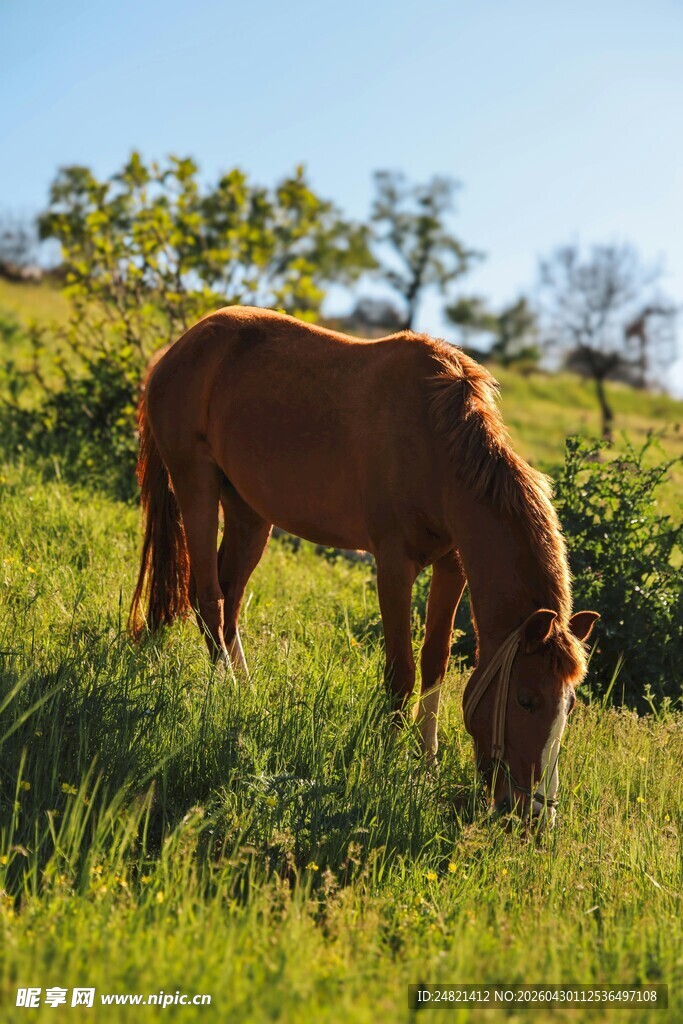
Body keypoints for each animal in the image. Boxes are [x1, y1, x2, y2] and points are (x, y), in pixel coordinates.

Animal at [129, 306, 599, 822]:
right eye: (527, 699)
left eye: (569, 708)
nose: (533, 815)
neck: (437, 443)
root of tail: (177, 349)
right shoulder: (393, 565)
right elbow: (401, 672)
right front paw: (388, 766)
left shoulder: (452, 566)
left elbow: (434, 664)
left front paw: (427, 766)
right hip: (196, 485)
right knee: (209, 599)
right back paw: (224, 695)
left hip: (249, 511)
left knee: (229, 602)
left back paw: (245, 697)